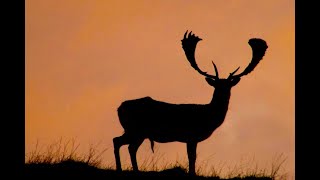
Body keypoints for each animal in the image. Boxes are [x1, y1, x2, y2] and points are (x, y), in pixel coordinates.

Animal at [112, 30, 268, 175]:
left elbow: (192, 157)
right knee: (124, 144)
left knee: (121, 142)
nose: (223, 94)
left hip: (135, 131)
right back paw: (127, 169)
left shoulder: (191, 138)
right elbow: (192, 157)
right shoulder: (191, 135)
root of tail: (119, 108)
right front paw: (192, 173)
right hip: (136, 129)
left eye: (228, 86)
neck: (208, 116)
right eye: (216, 86)